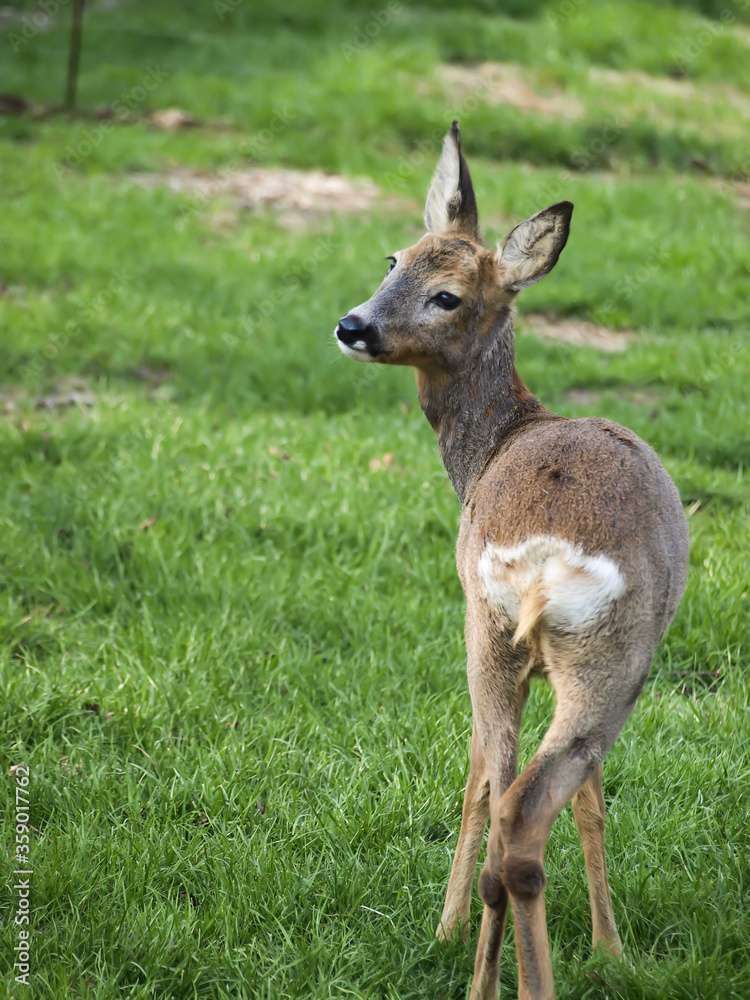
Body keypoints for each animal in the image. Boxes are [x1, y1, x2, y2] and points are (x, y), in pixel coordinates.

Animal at [334, 122, 689, 999]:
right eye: (393, 259)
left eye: (448, 295)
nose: (354, 325)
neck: (498, 439)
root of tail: (541, 560)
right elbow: (586, 800)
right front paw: (609, 948)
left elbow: (512, 789)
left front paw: (460, 931)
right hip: (607, 657)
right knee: (520, 810)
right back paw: (524, 975)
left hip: (495, 635)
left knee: (500, 797)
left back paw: (483, 979)